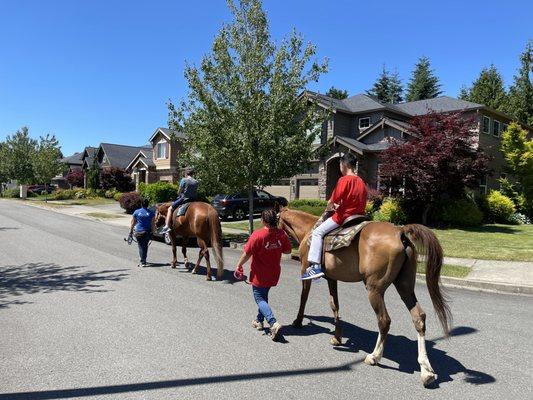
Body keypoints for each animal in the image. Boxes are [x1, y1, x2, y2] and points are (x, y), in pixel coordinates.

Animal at [278, 208, 448, 386]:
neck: (308, 229)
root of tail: (400, 232)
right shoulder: (332, 278)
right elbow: (334, 304)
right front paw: (337, 337)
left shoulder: (305, 270)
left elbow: (304, 298)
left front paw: (298, 321)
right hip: (405, 287)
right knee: (418, 317)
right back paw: (426, 371)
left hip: (375, 290)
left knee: (384, 320)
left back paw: (375, 356)